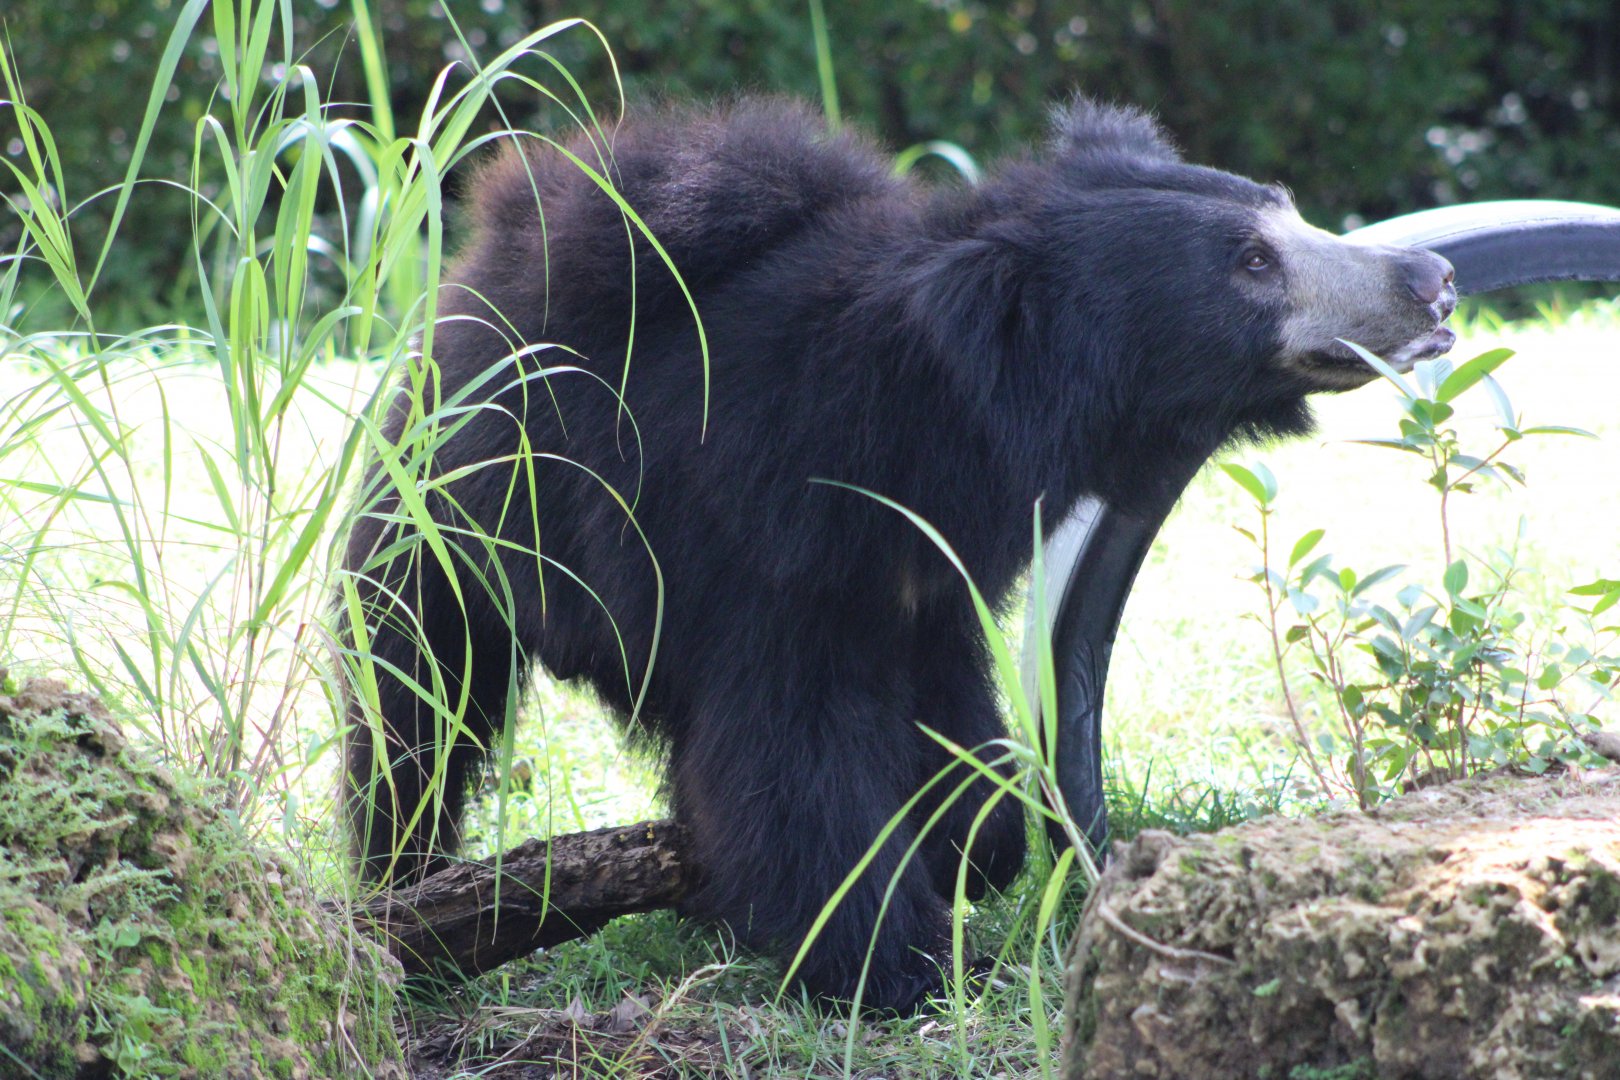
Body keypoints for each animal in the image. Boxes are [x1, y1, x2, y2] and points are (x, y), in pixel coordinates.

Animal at [340, 96, 1456, 1014]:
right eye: (1250, 262)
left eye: (1288, 211)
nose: (1434, 281)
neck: (940, 416)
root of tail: (473, 274)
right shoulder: (759, 538)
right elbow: (795, 758)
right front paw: (893, 965)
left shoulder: (924, 576)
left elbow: (951, 726)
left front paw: (971, 847)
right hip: (456, 515)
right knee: (417, 701)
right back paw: (406, 887)